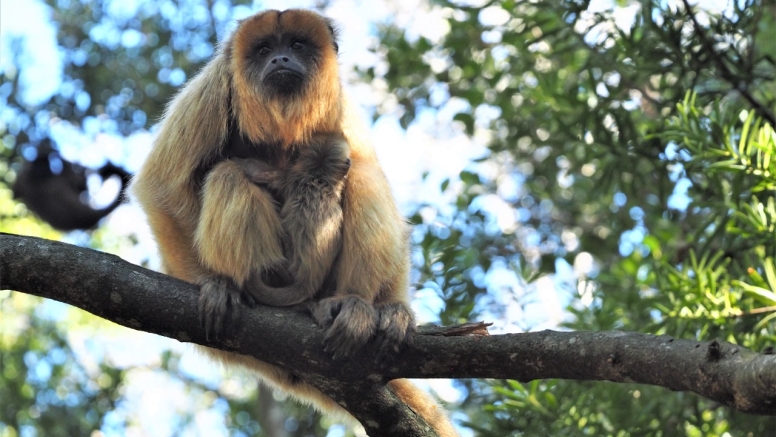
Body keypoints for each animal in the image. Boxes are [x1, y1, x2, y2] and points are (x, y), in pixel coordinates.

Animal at [132, 8, 460, 434]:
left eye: (297, 45)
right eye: (264, 49)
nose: (280, 59)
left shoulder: (340, 107)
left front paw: (395, 311)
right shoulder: (213, 87)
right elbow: (161, 188)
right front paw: (213, 284)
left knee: (365, 176)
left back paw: (353, 308)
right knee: (227, 175)